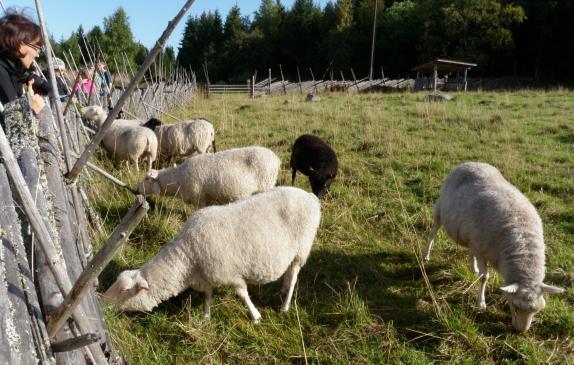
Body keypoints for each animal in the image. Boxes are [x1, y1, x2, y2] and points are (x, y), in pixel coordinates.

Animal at [104, 185, 324, 322]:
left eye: (124, 290)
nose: (103, 301)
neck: (187, 254)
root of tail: (310, 196)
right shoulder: (206, 275)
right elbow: (208, 295)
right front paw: (206, 316)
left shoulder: (230, 273)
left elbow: (242, 294)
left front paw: (255, 316)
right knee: (288, 273)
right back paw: (283, 290)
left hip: (302, 249)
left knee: (294, 276)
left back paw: (285, 306)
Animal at [140, 146, 284, 208]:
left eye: (147, 179)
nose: (137, 189)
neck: (177, 179)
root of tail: (276, 159)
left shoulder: (199, 199)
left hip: (266, 185)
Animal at [426, 161, 564, 332]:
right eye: (513, 305)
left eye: (537, 310)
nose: (521, 331)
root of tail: (471, 163)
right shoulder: (482, 251)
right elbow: (484, 278)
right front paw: (481, 303)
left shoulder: (479, 245)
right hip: (439, 211)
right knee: (432, 234)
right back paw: (426, 255)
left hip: (472, 237)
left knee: (470, 251)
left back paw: (473, 267)